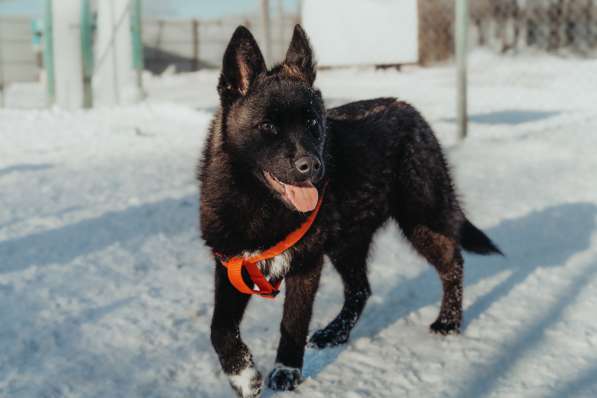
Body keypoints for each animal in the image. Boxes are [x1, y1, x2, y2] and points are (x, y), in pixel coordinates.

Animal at [198, 25, 500, 398]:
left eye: (313, 122)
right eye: (268, 126)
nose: (312, 166)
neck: (259, 203)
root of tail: (408, 108)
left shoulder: (306, 266)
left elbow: (292, 323)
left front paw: (286, 370)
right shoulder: (231, 266)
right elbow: (219, 328)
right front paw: (242, 374)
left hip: (422, 218)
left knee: (452, 264)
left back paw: (449, 321)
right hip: (347, 243)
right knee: (360, 290)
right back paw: (335, 332)